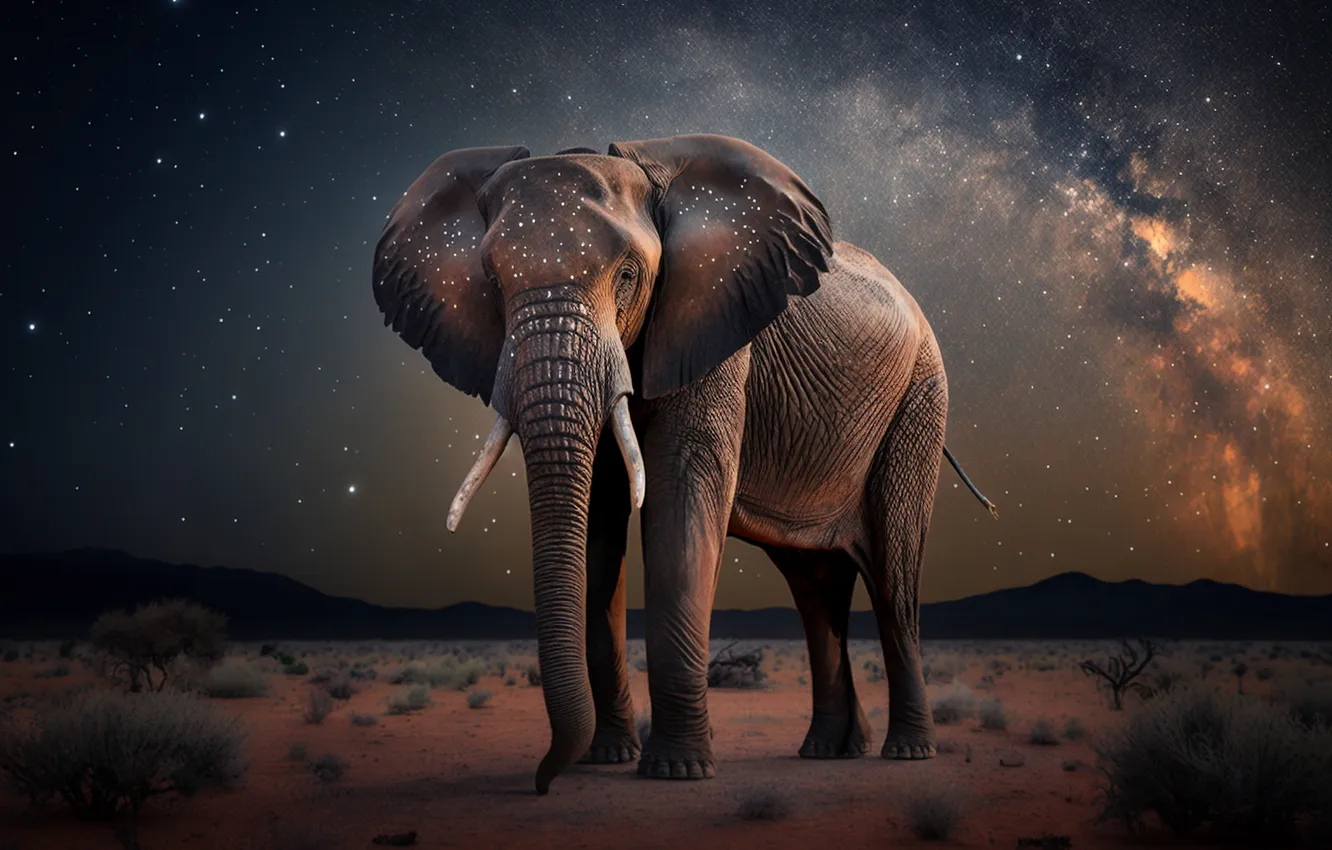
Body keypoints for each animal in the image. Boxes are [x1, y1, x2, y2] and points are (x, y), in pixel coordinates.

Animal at [371, 134, 996, 794]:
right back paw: (829, 752)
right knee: (815, 586)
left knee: (894, 578)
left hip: (920, 399)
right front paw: (607, 759)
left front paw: (675, 771)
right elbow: (598, 520)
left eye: (627, 276)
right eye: (491, 280)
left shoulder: (712, 325)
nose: (541, 783)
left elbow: (680, 495)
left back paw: (907, 752)